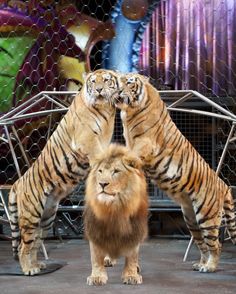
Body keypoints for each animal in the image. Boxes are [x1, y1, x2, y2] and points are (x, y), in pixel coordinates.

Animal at [8, 69, 119, 276]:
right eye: (94, 81)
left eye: (107, 80)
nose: (99, 90)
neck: (105, 110)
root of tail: (18, 181)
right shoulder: (86, 138)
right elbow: (97, 153)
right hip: (31, 214)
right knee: (22, 246)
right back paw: (29, 269)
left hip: (47, 216)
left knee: (35, 243)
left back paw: (38, 265)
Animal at [83, 143, 148, 284]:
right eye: (100, 171)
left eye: (116, 171)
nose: (102, 184)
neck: (114, 208)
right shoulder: (95, 228)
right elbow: (96, 256)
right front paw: (97, 277)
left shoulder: (134, 229)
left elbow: (132, 255)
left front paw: (131, 275)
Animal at [113, 73, 236, 274]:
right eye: (117, 80)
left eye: (129, 82)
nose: (117, 90)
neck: (129, 111)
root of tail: (223, 184)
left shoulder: (146, 143)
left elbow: (129, 155)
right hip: (191, 219)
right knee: (202, 244)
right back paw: (200, 264)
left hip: (207, 217)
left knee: (216, 245)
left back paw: (209, 267)